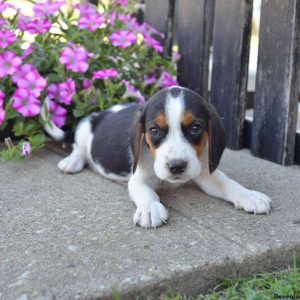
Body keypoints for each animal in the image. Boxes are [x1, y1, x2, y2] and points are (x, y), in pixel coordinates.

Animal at [44, 86, 272, 227]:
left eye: (196, 128)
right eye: (154, 130)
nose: (177, 166)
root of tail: (102, 113)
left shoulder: (204, 171)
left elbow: (228, 183)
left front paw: (249, 196)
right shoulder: (138, 179)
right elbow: (147, 194)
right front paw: (150, 209)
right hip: (84, 127)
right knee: (79, 147)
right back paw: (72, 161)